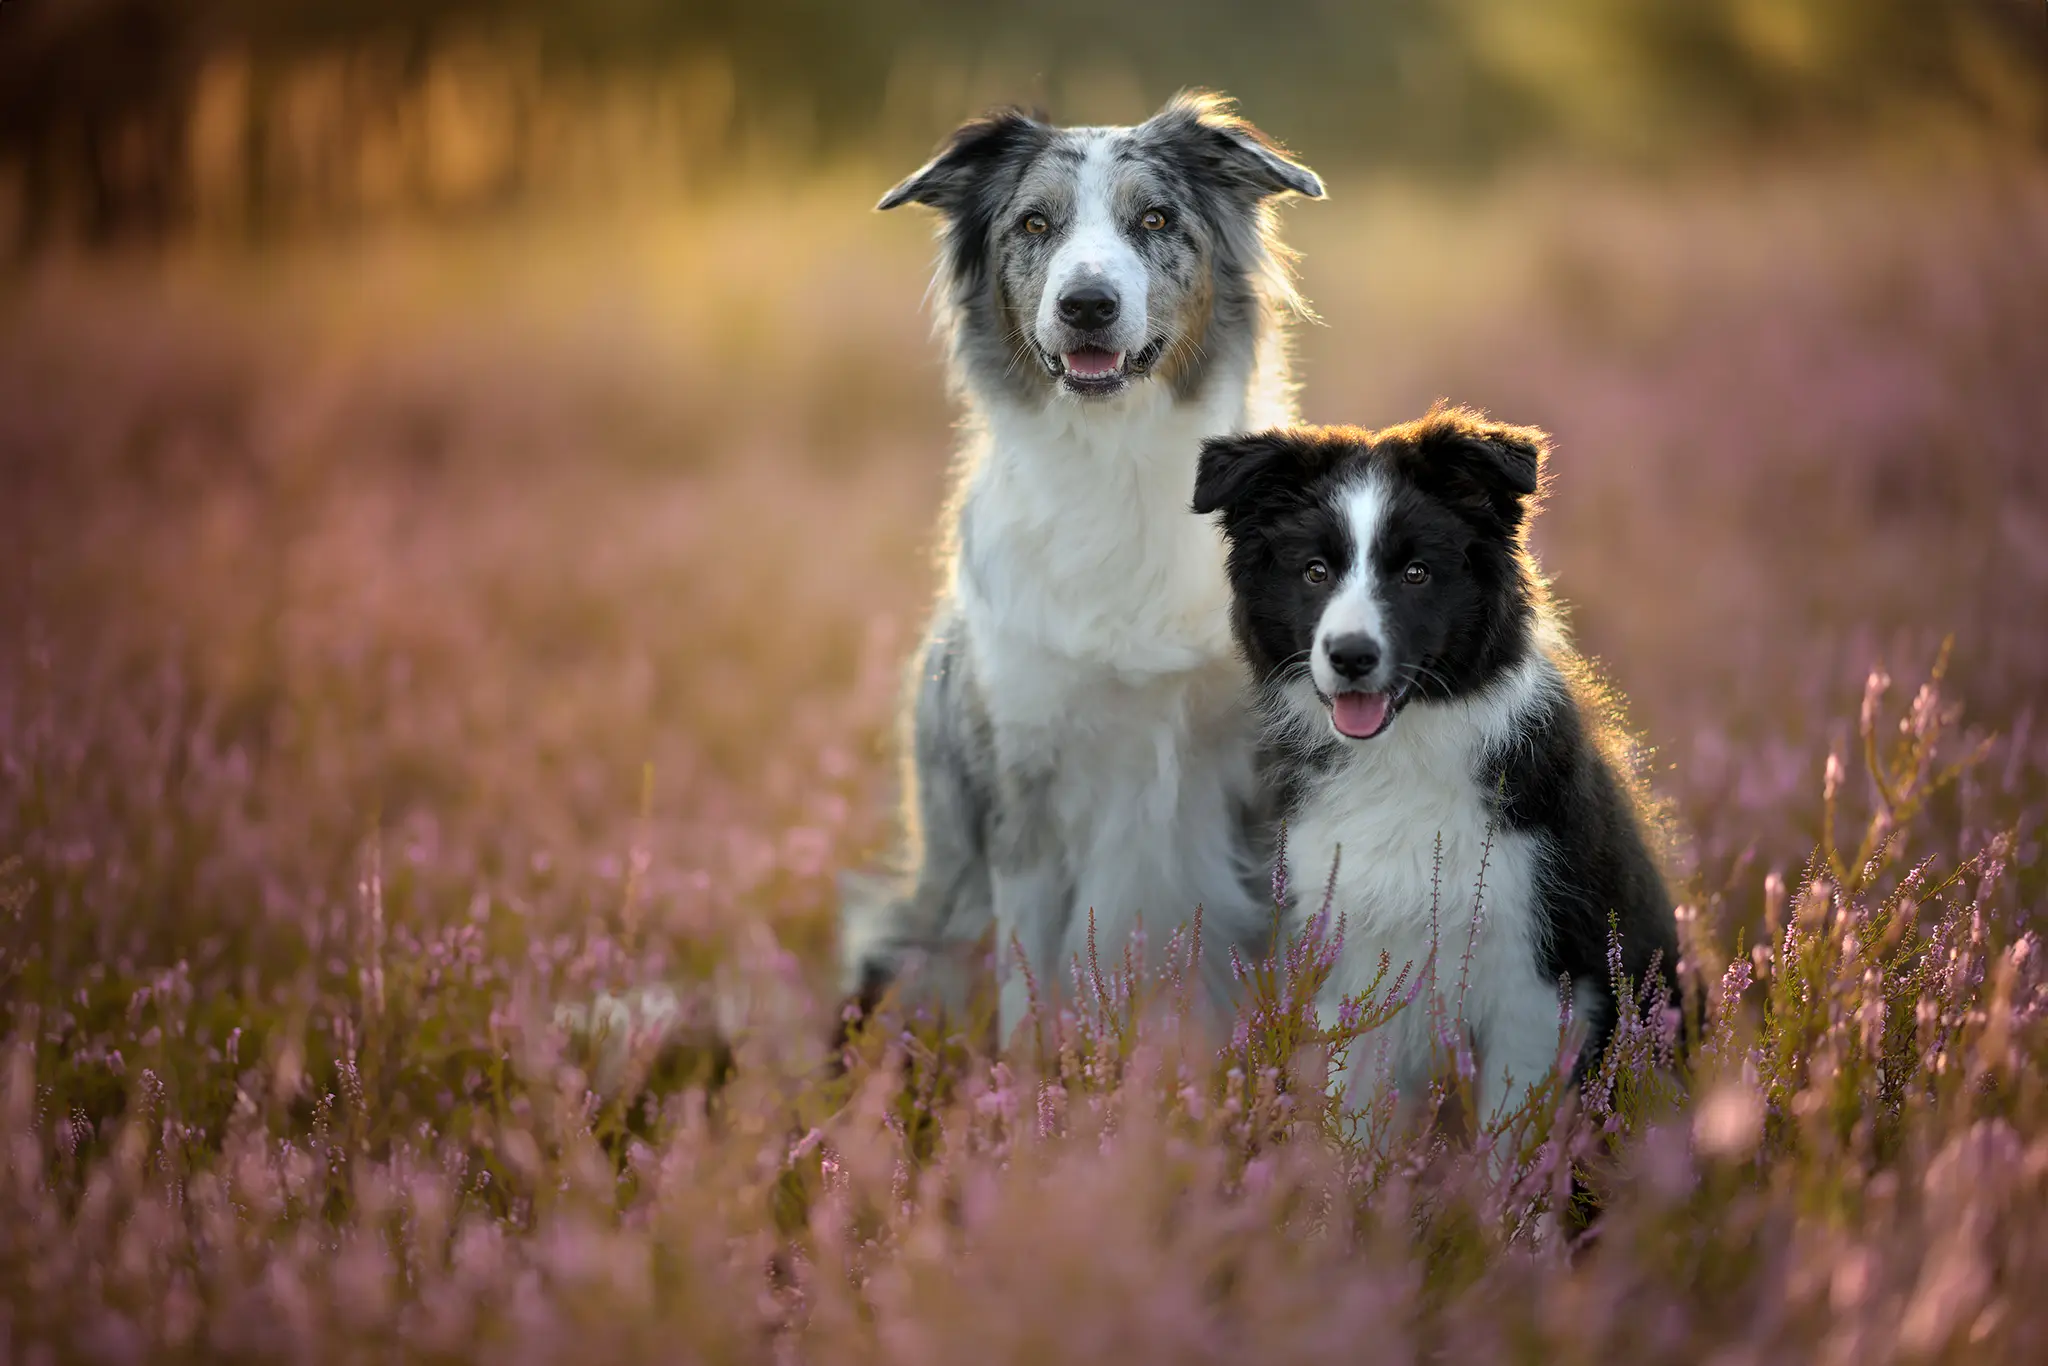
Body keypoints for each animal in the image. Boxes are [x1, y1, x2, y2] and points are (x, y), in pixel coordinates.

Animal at [843, 96, 1327, 1036]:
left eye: (1156, 220)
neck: (1118, 465)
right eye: (1036, 224)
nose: (1087, 305)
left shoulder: (1262, 791)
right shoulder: (1024, 796)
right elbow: (1027, 999)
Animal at [1196, 411, 1671, 1130]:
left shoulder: (1536, 983)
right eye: (1315, 571)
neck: (1402, 755)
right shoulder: (1356, 967)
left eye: (1416, 573)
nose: (1351, 656)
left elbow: (1506, 1137)